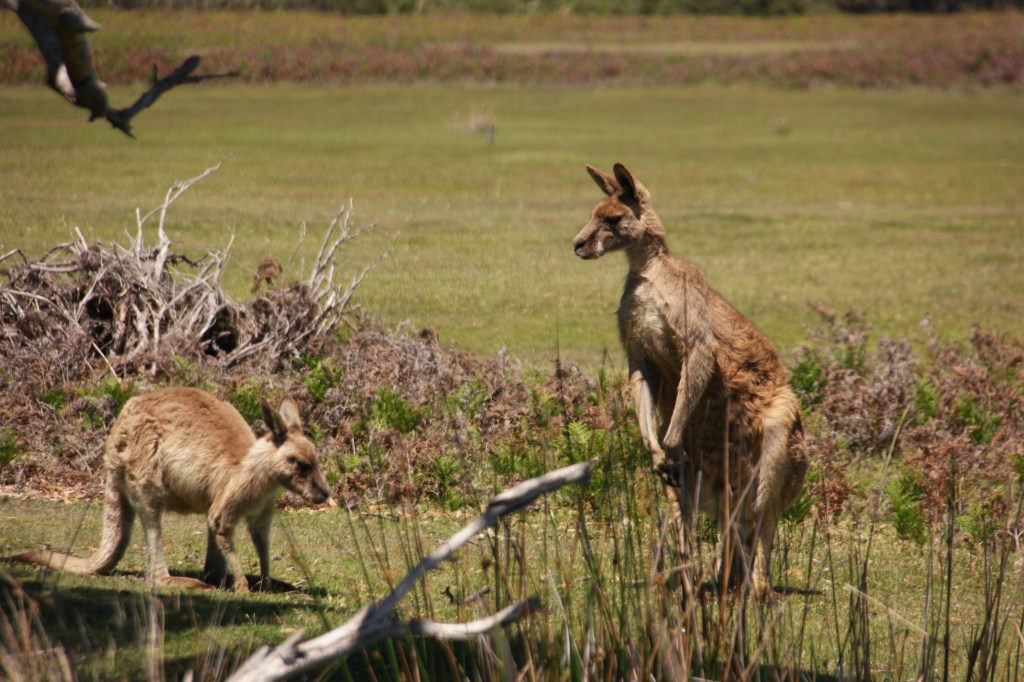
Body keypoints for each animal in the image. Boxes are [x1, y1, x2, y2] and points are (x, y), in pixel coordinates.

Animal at [8, 387, 331, 593]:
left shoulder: (262, 512)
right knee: (156, 550)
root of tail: (113, 442)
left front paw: (266, 582)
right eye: (301, 465)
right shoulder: (228, 503)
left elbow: (262, 543)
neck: (259, 471)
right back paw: (190, 583)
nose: (326, 494)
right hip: (146, 472)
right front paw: (244, 588)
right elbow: (223, 530)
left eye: (315, 460)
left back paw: (218, 580)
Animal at [573, 163, 808, 602]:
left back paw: (755, 590)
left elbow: (695, 367)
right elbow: (640, 382)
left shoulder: (693, 328)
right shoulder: (638, 351)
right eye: (595, 212)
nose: (577, 245)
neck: (647, 272)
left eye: (612, 218)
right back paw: (691, 584)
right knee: (708, 522)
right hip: (702, 485)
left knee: (763, 521)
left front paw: (668, 441)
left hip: (780, 440)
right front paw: (655, 447)